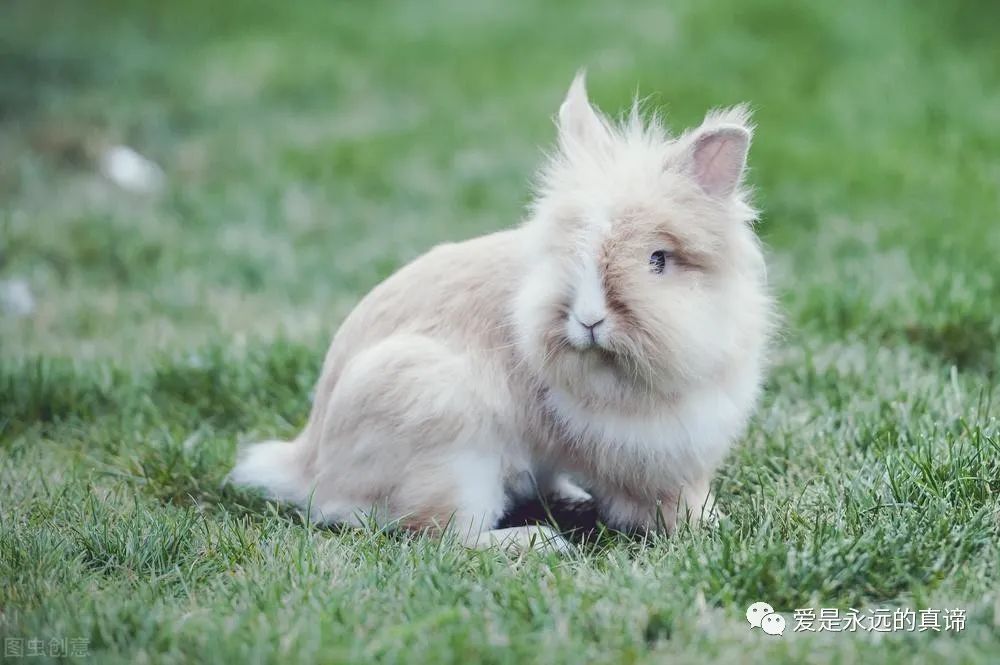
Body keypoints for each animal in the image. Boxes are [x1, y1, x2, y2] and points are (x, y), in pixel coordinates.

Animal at [230, 71, 776, 548]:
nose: (589, 320)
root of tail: (311, 468)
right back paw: (538, 543)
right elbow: (664, 502)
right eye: (566, 254)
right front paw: (706, 528)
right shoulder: (645, 459)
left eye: (658, 260)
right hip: (450, 449)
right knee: (446, 537)